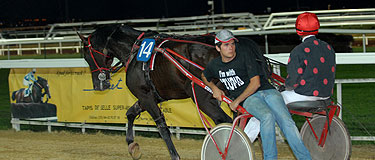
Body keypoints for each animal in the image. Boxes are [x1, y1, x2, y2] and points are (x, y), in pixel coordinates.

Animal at [78, 24, 262, 159]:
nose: (99, 85)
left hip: (203, 97)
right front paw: (132, 145)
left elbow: (162, 127)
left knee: (225, 121)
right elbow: (130, 113)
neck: (135, 50)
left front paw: (174, 155)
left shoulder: (145, 96)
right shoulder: (151, 96)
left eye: (86, 56)